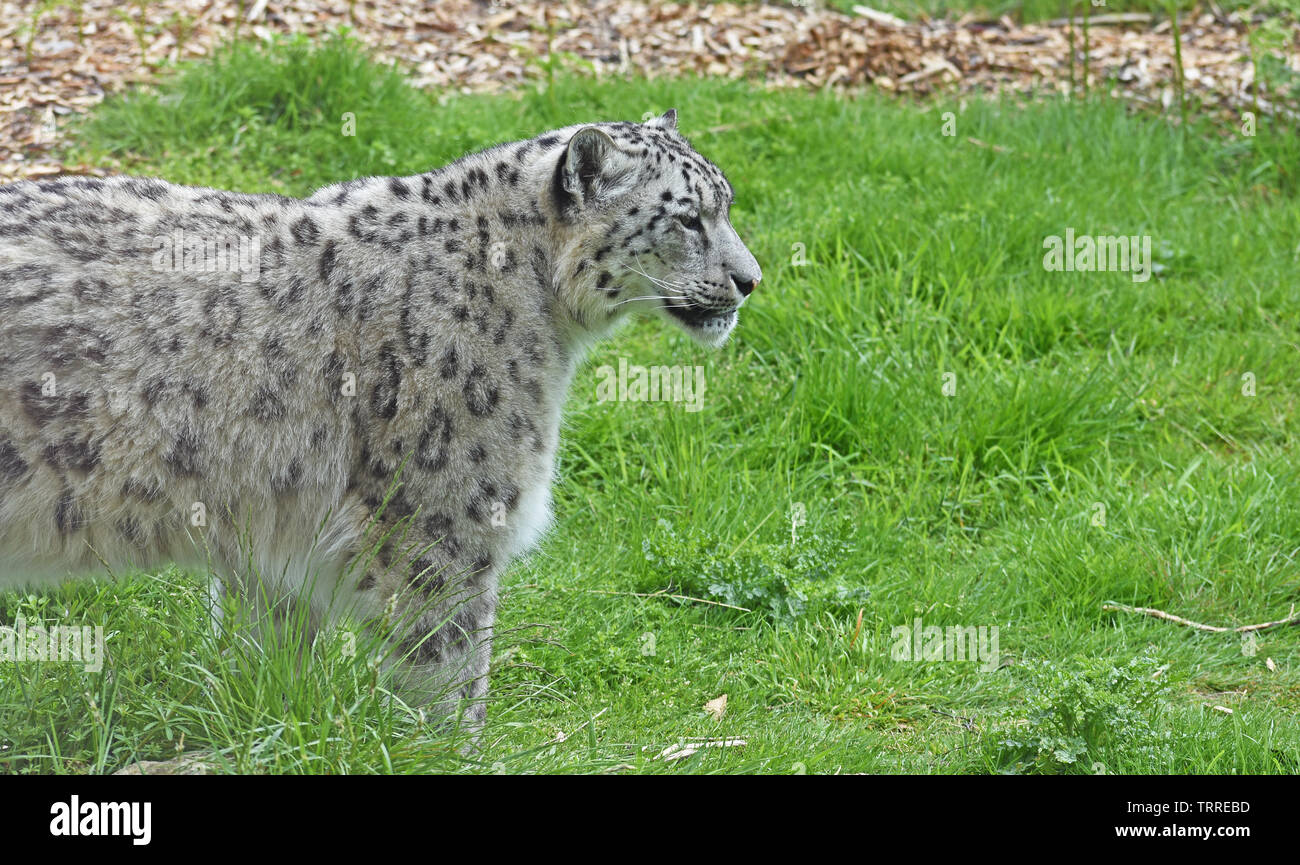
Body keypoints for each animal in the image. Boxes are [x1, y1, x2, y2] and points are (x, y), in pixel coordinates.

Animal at [0, 109, 761, 726]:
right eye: (687, 217)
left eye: (725, 205)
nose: (751, 279)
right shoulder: (445, 523)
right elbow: (448, 666)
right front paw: (453, 747)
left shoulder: (273, 526)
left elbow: (269, 645)